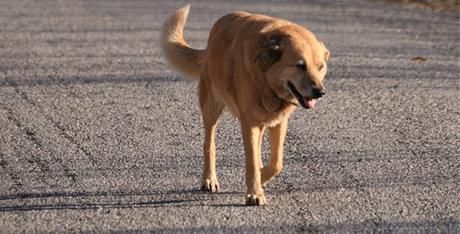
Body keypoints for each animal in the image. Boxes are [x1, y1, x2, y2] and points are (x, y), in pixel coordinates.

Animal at [160, 5, 328, 206]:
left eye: (320, 66)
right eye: (300, 66)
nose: (320, 92)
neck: (267, 80)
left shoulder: (279, 122)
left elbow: (276, 163)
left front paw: (262, 178)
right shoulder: (248, 123)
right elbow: (252, 162)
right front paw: (254, 193)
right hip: (211, 107)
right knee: (209, 144)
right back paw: (209, 179)